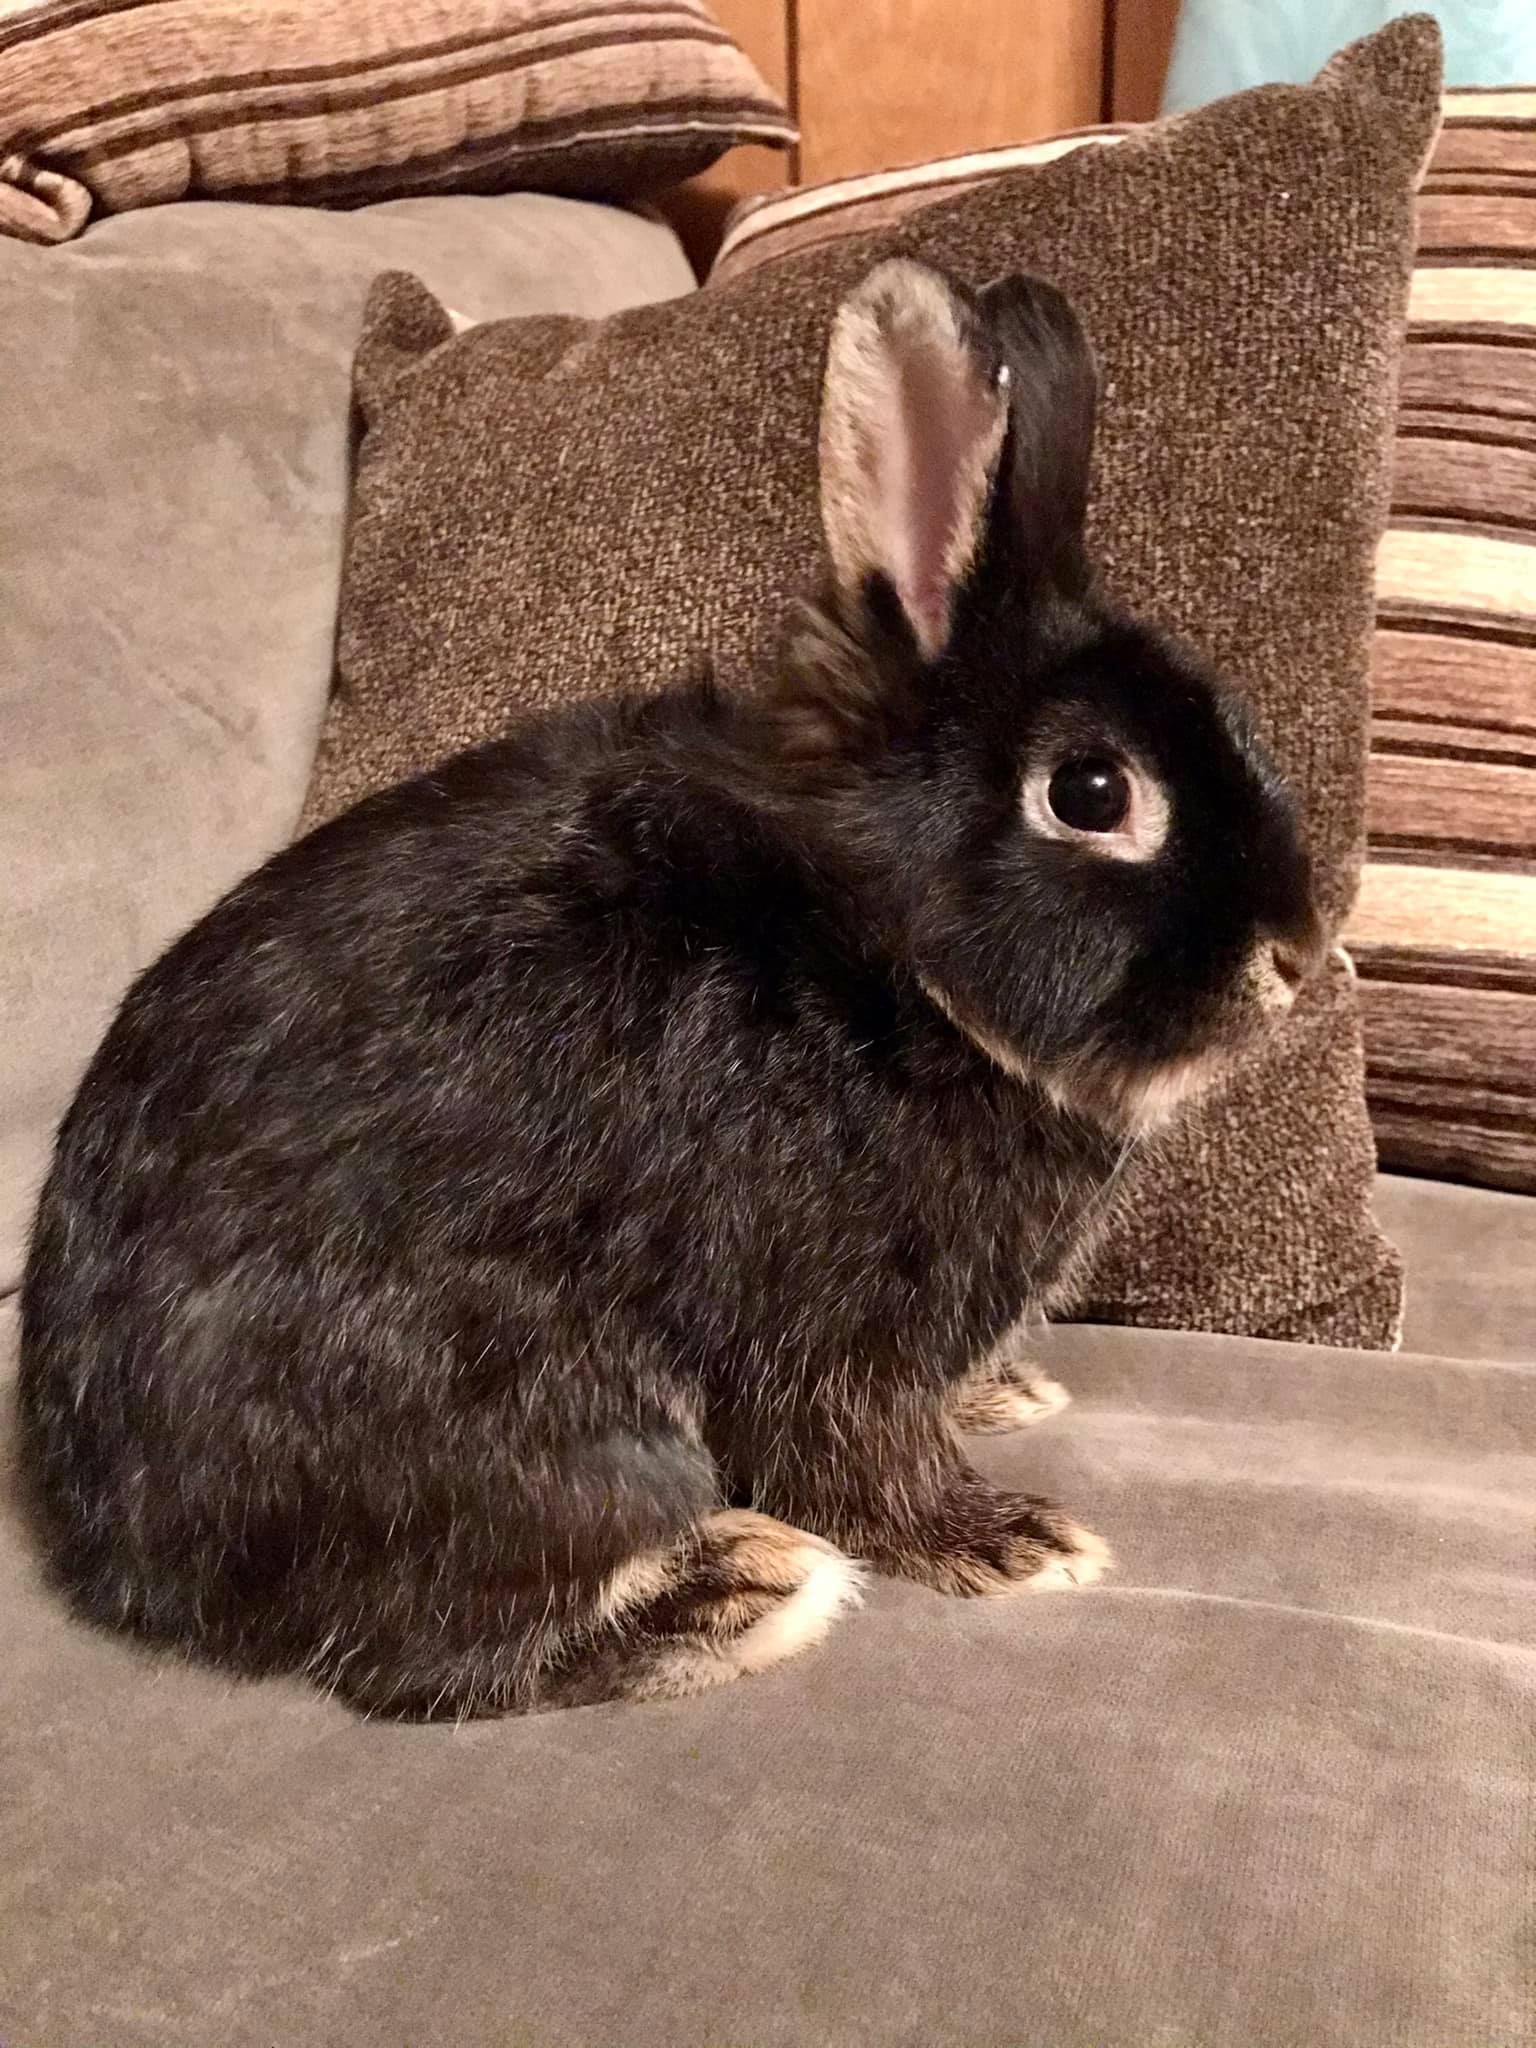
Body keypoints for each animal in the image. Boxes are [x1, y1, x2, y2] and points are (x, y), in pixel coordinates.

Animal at [18, 258, 1323, 1720]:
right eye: (1093, 792)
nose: (1303, 949)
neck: (891, 963)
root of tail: (116, 1548)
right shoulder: (826, 1333)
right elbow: (866, 1462)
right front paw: (1013, 1538)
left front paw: (1006, 1398)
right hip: (519, 1413)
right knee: (430, 1646)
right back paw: (747, 1584)